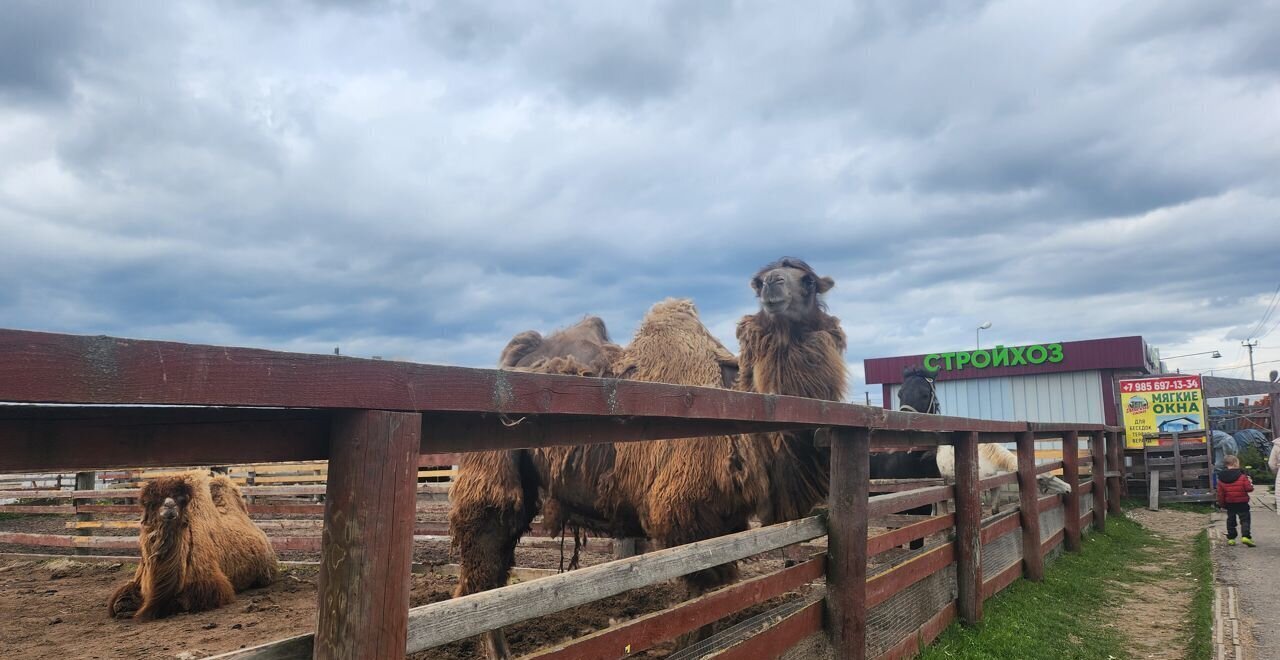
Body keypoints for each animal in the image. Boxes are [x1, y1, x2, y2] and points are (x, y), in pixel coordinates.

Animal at [108, 468, 277, 619]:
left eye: (181, 499)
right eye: (150, 502)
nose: (169, 506)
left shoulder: (208, 585)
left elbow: (180, 602)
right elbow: (119, 602)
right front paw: (125, 609)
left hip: (266, 572)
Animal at [450, 257, 849, 654]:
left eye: (809, 281)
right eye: (758, 280)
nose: (772, 285)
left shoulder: (726, 520)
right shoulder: (683, 514)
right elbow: (700, 603)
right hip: (490, 477)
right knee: (482, 576)